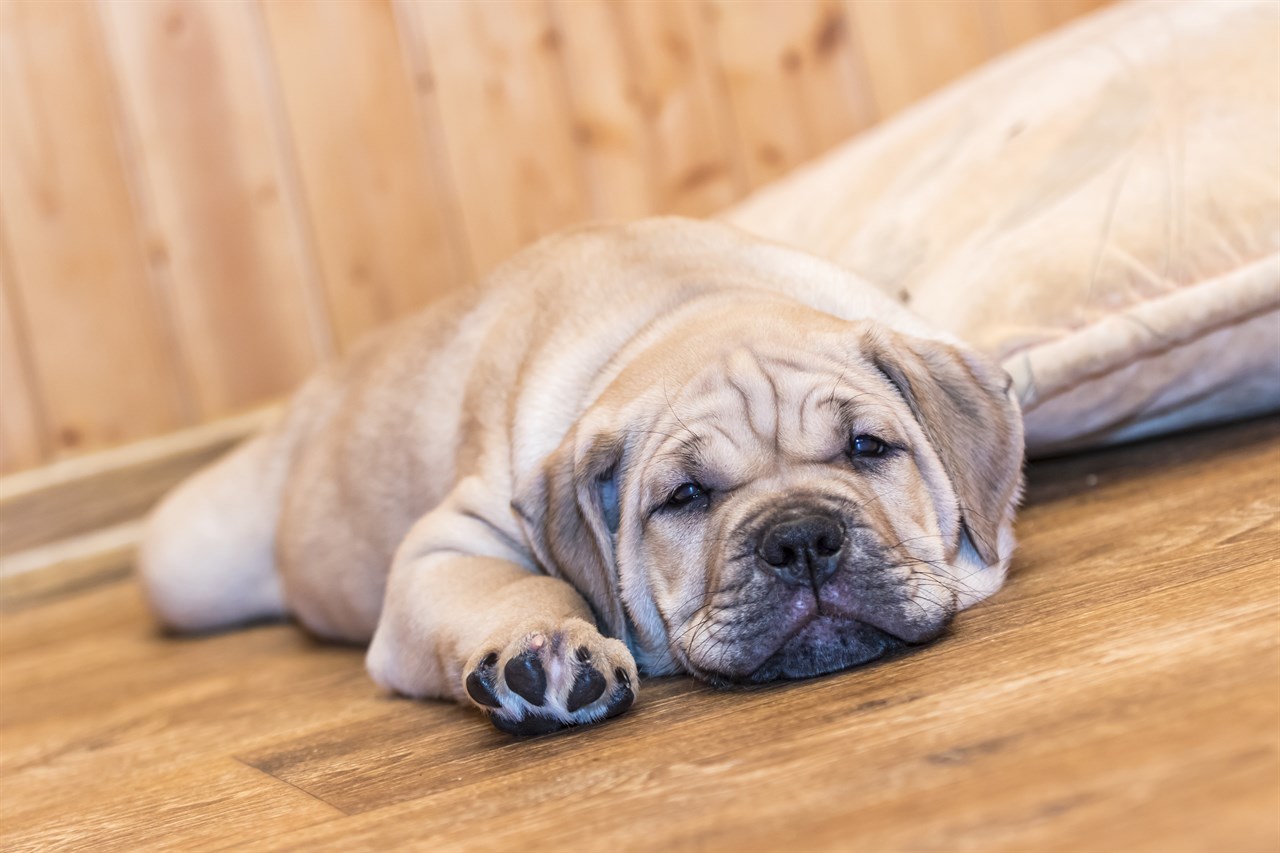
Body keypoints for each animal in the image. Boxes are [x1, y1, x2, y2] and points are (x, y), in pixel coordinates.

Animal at [137, 217, 1018, 732]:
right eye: (685, 496)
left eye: (868, 447)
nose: (801, 539)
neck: (684, 306)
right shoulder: (448, 545)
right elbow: (521, 583)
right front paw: (544, 648)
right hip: (191, 564)